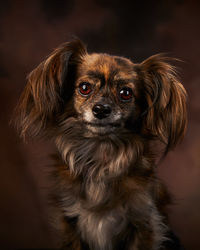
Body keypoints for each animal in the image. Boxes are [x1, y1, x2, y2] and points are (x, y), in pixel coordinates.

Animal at [14, 39, 187, 250]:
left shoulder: (144, 223)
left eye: (125, 93)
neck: (101, 154)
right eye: (84, 87)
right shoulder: (71, 223)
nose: (101, 109)